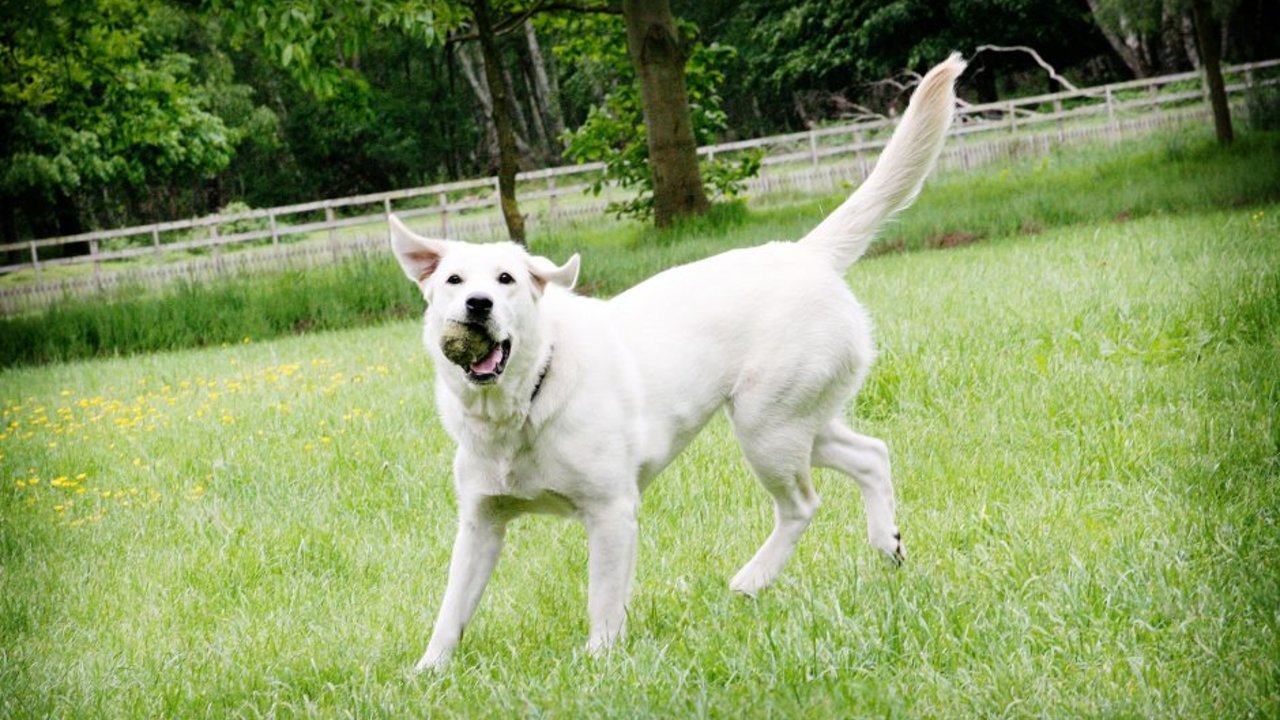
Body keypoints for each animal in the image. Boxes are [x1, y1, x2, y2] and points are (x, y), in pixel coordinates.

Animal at [389, 54, 962, 666]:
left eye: (507, 279)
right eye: (453, 280)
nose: (478, 305)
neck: (523, 403)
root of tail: (804, 253)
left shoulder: (611, 513)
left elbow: (603, 601)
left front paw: (600, 661)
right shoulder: (480, 524)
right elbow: (451, 609)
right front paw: (428, 670)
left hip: (766, 426)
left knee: (803, 504)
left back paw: (754, 578)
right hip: (800, 420)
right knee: (871, 454)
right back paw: (884, 545)